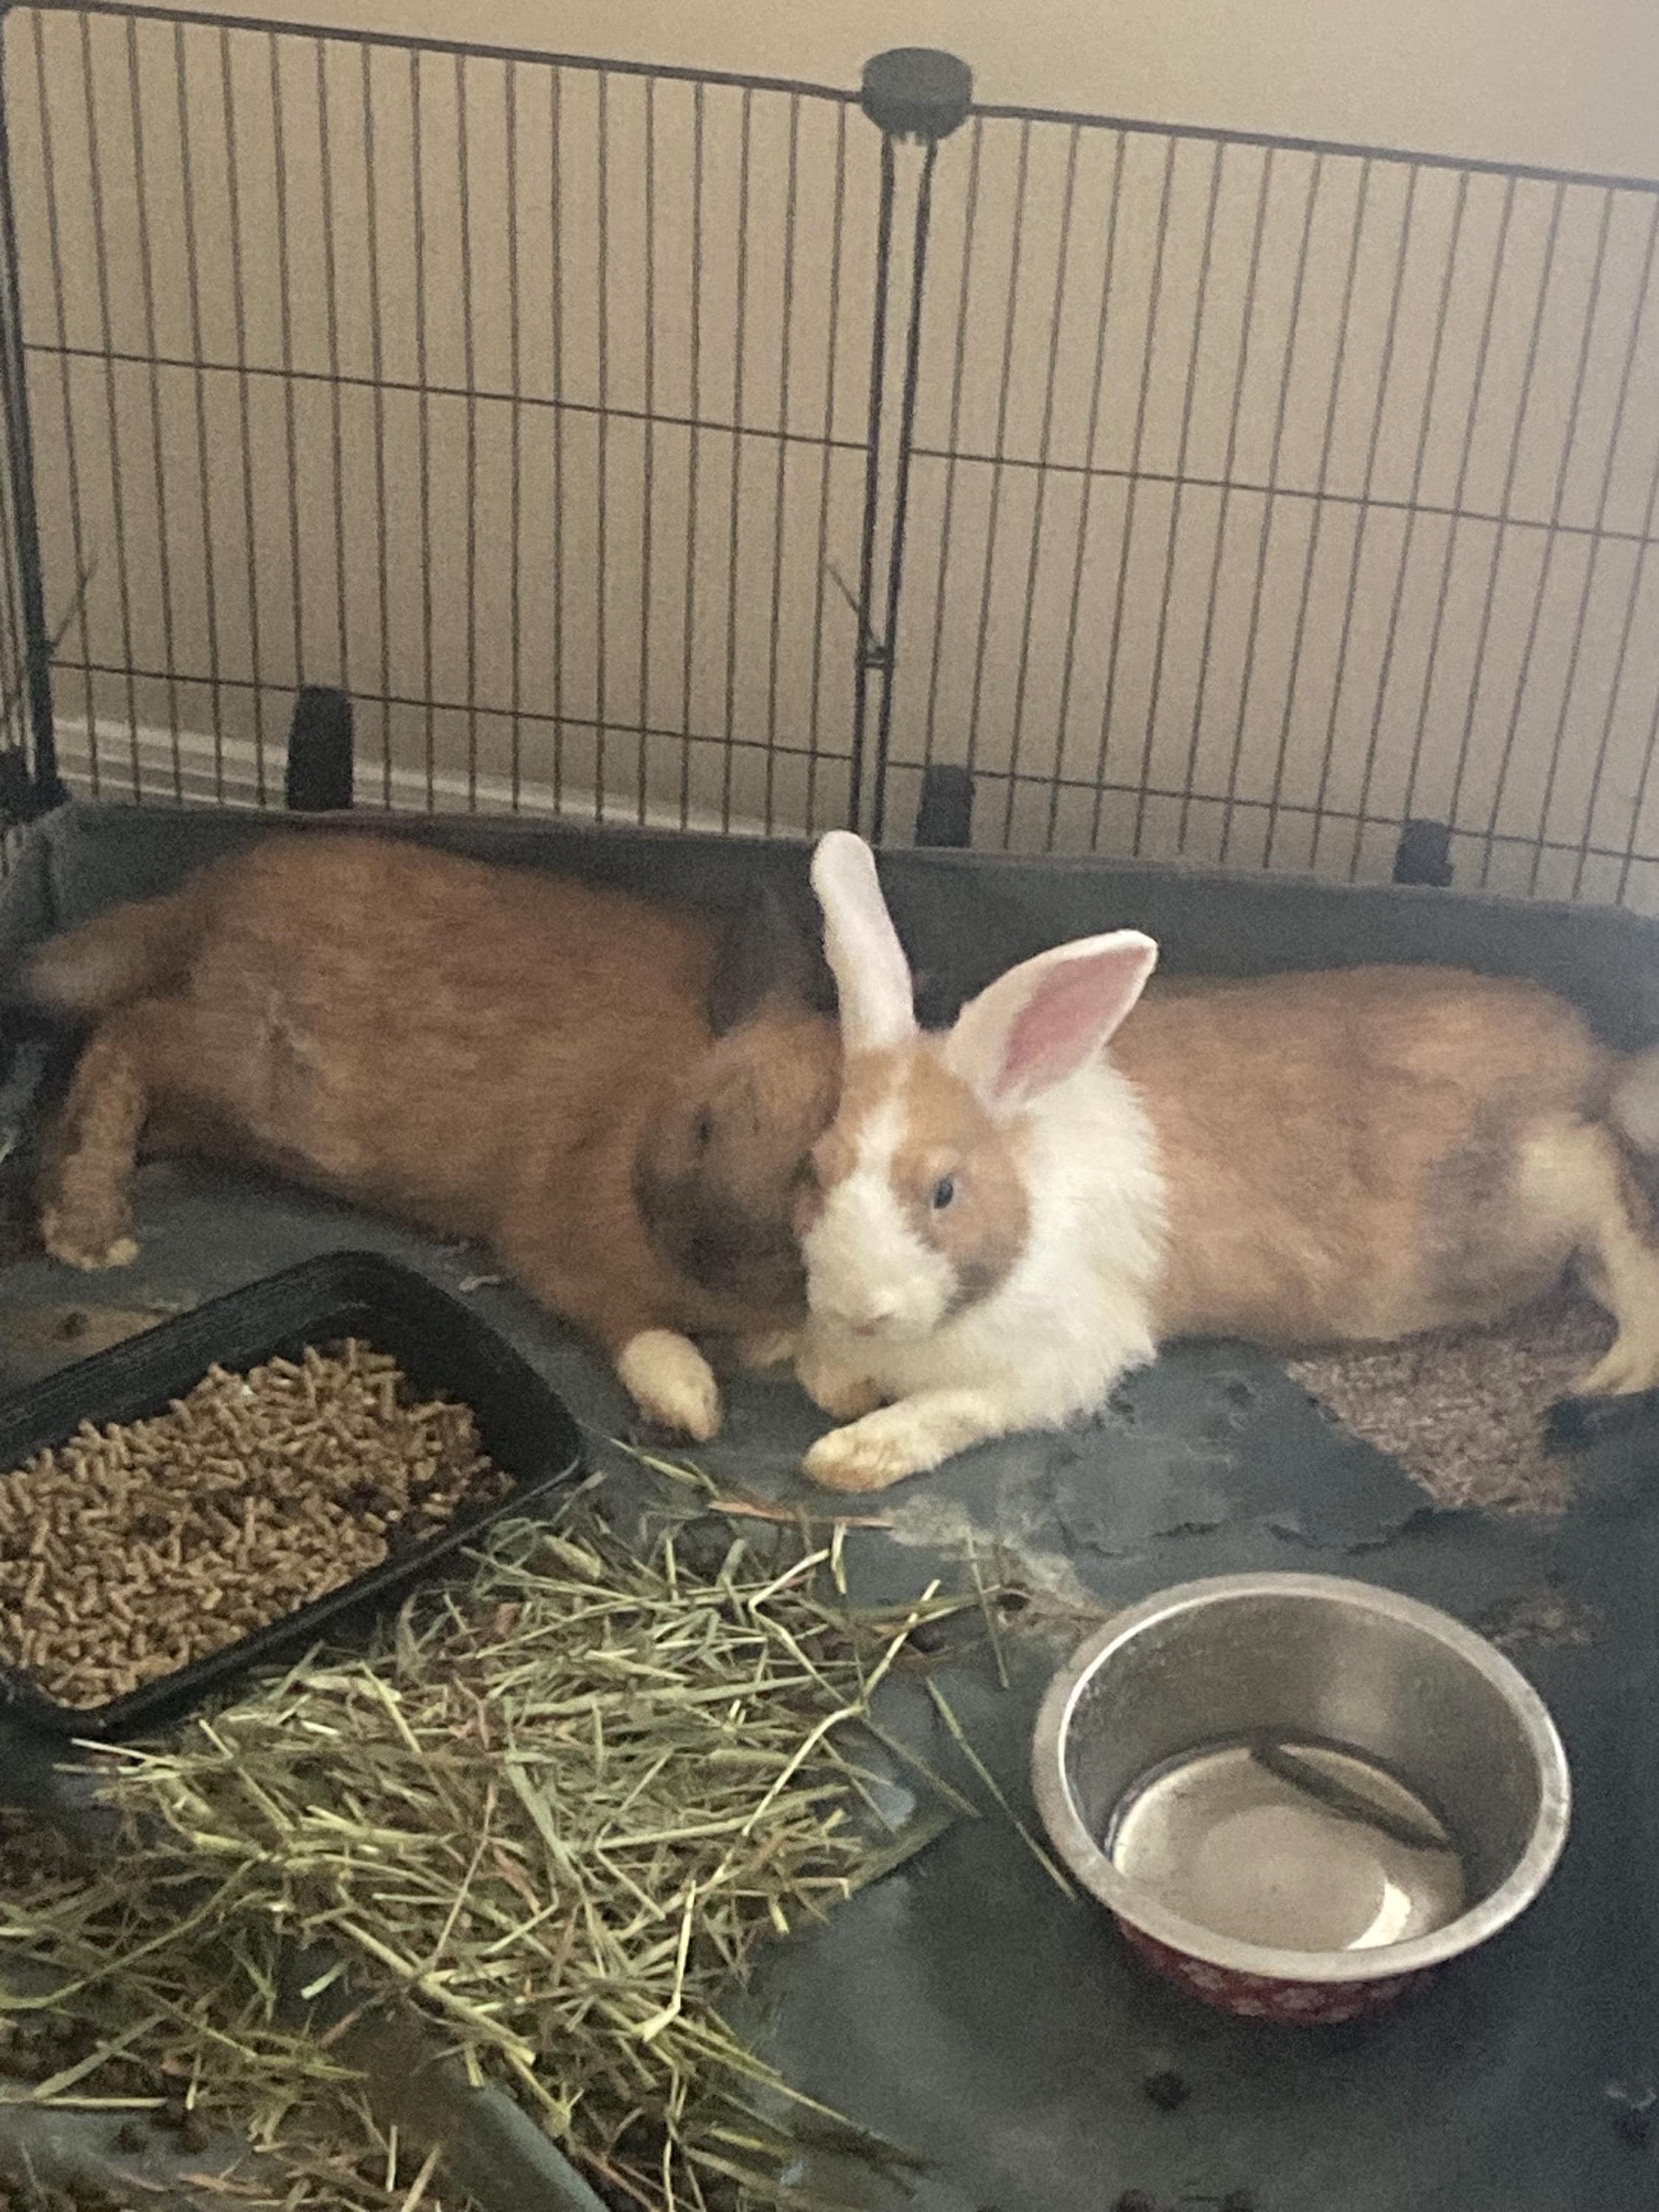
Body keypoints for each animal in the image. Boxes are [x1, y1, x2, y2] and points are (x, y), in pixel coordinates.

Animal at [21, 832, 842, 1441]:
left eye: (819, 1170)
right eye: (706, 1124)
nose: (708, 1249)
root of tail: (208, 896)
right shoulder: (557, 1246)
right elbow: (628, 1323)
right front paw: (689, 1403)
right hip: (239, 1058)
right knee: (123, 1035)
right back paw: (89, 1229)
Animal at [791, 829, 1659, 1491]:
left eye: (944, 1191)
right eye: (817, 1167)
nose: (861, 1311)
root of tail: (1594, 1059)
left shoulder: (1055, 1364)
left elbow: (952, 1410)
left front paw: (849, 1456)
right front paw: (841, 1389)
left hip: (1533, 1187)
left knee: (1617, 1203)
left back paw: (1607, 1383)